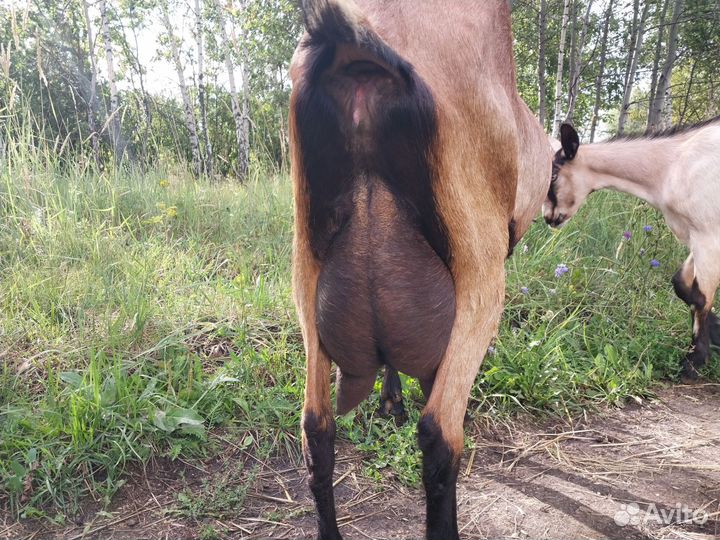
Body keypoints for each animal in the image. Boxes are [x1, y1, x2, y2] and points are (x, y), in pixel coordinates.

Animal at [544, 120, 720, 380]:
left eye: (554, 175)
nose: (548, 218)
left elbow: (701, 297)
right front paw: (717, 333)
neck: (672, 165)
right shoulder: (693, 235)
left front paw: (693, 362)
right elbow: (682, 284)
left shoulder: (709, 235)